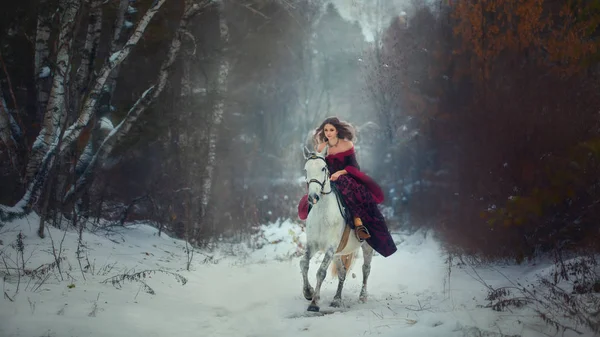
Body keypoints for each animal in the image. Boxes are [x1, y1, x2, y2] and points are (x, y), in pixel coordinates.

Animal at [300, 146, 376, 312]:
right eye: (306, 169)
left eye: (323, 168)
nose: (313, 197)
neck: (323, 213)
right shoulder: (313, 245)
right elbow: (304, 264)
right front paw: (308, 292)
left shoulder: (330, 247)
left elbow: (321, 272)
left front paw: (314, 302)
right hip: (338, 253)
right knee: (342, 273)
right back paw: (336, 299)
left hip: (367, 246)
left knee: (366, 268)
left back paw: (362, 296)